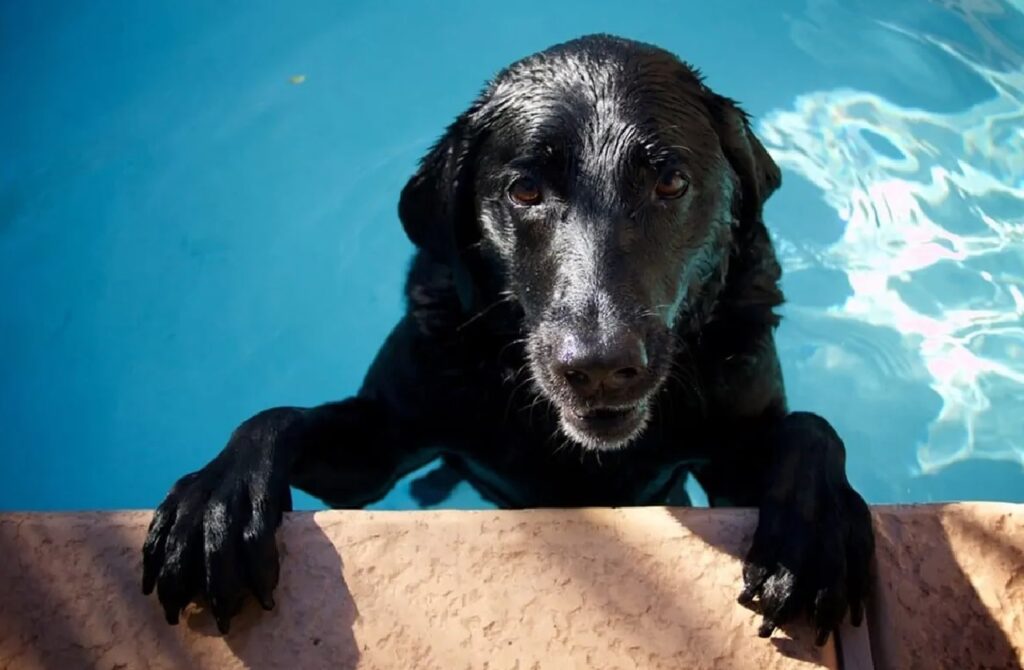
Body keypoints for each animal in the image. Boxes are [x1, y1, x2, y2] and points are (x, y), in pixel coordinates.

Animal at [142, 35, 872, 647]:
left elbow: (812, 427)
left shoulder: (736, 452)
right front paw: (215, 507)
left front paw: (815, 535)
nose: (599, 366)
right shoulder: (378, 444)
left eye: (670, 181)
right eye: (524, 189)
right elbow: (276, 417)